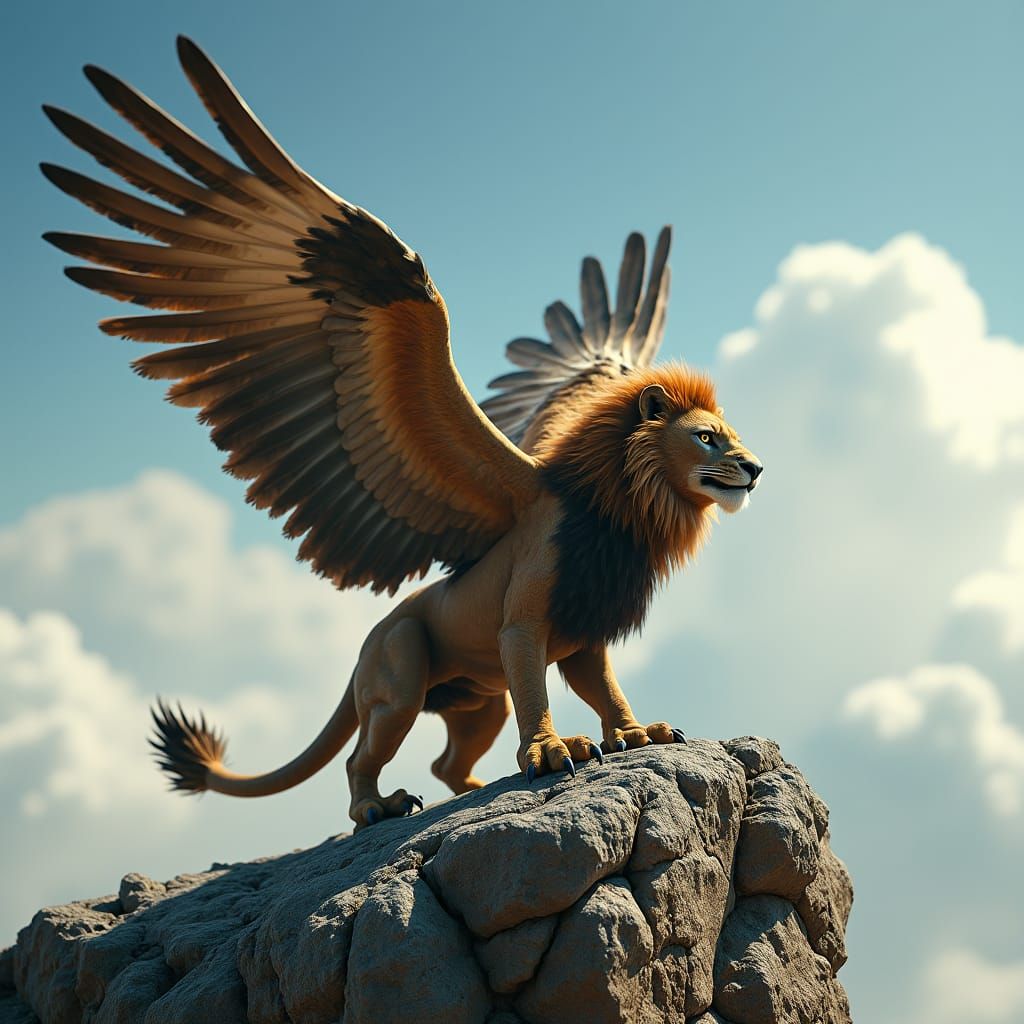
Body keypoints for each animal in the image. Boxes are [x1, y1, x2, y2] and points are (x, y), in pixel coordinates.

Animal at [43, 37, 762, 828]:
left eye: (727, 433)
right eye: (707, 438)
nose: (756, 468)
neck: (627, 508)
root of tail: (365, 642)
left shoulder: (587, 630)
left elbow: (606, 688)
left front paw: (637, 734)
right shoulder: (526, 620)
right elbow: (539, 687)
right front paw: (552, 753)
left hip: (473, 698)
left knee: (447, 759)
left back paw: (470, 789)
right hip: (399, 674)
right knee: (362, 756)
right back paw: (382, 807)